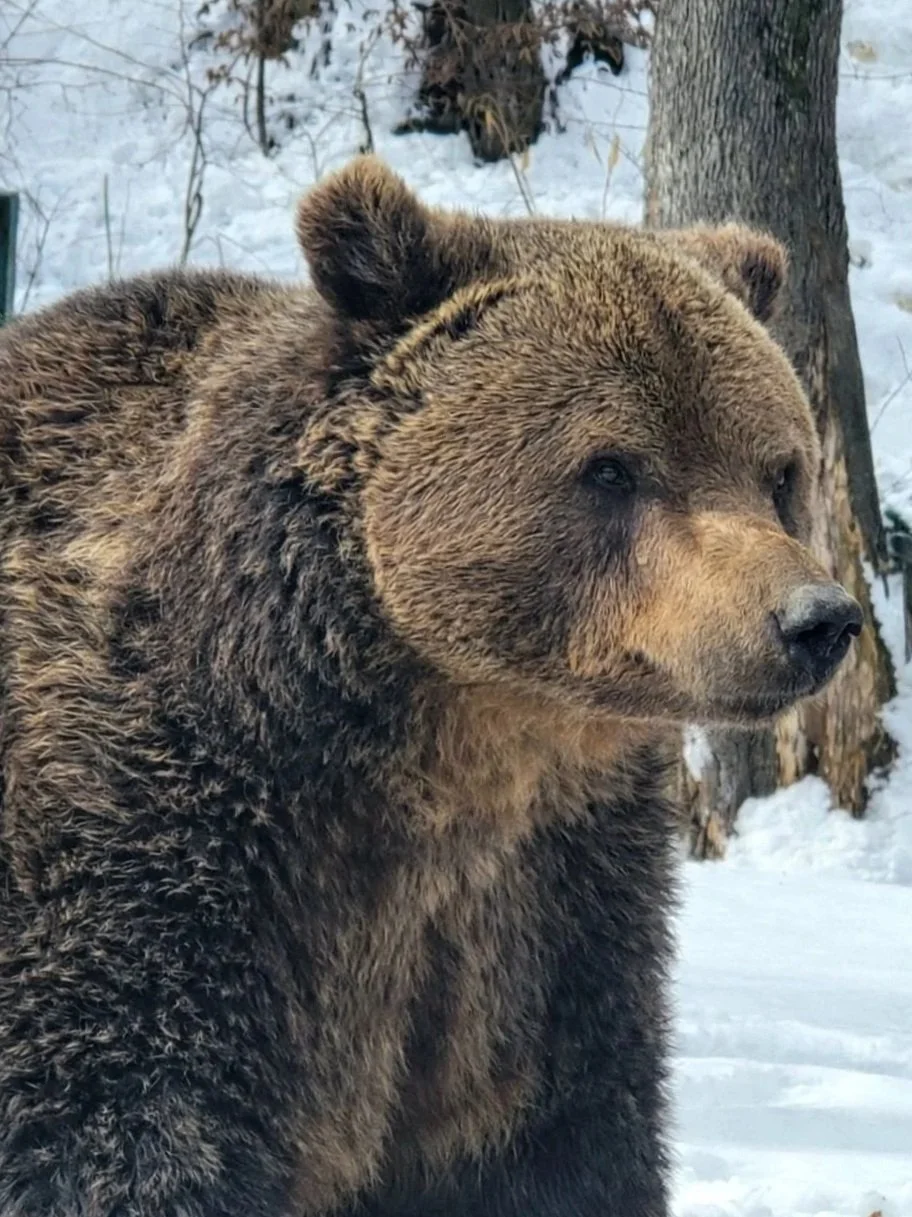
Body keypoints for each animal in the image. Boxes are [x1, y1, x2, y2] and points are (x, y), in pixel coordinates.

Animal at [0, 156, 861, 1217]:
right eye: (612, 466)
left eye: (778, 470)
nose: (814, 619)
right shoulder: (152, 853)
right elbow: (121, 1129)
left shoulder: (544, 914)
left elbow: (561, 1135)